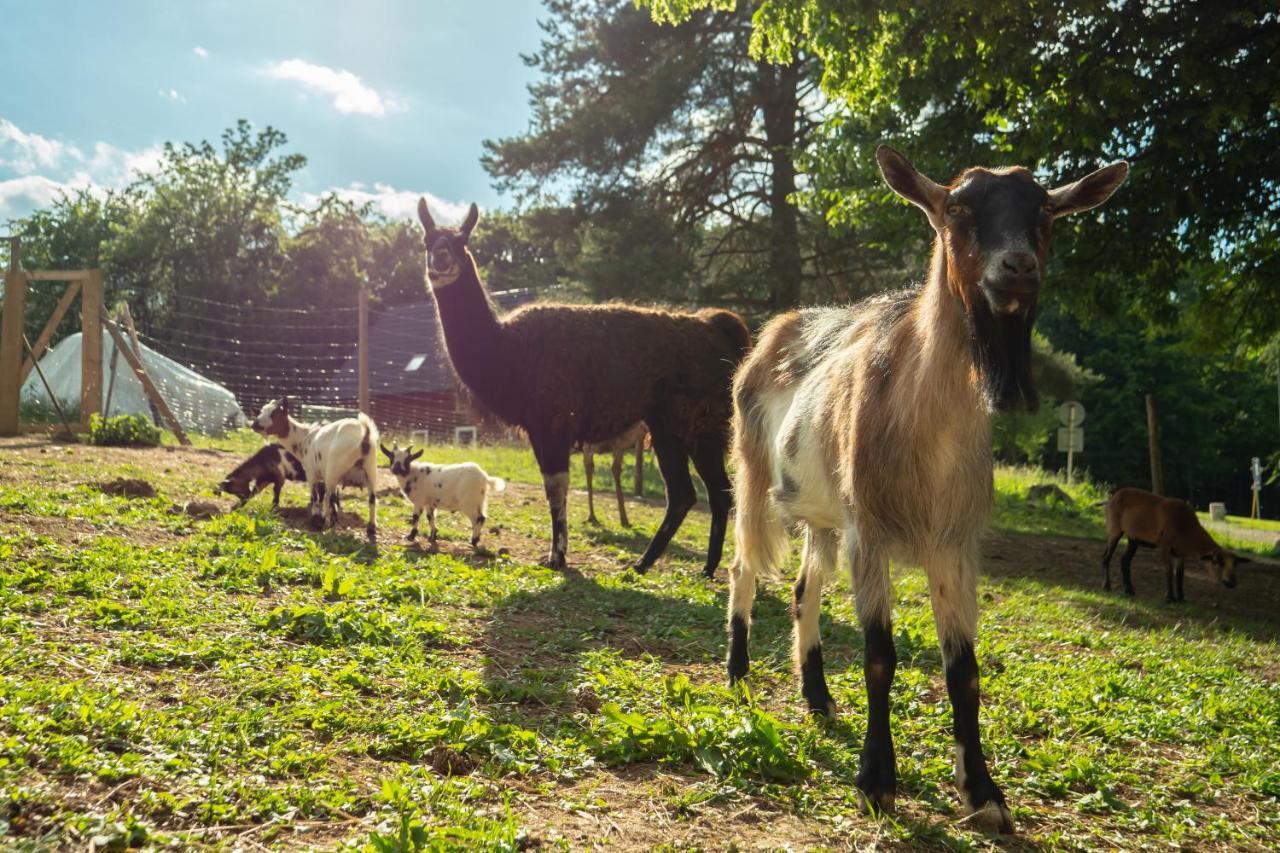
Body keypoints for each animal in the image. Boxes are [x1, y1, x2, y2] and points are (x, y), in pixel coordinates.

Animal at [414, 198, 747, 571]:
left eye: (462, 242)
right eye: (428, 241)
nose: (441, 257)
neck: (508, 349)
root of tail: (715, 326)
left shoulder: (554, 422)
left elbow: (556, 488)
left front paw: (556, 556)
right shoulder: (541, 428)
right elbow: (553, 487)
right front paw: (557, 553)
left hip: (696, 422)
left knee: (705, 492)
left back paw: (676, 566)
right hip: (671, 426)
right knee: (693, 493)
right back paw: (670, 566)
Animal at [727, 147, 1126, 829]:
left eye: (1045, 212)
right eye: (959, 208)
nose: (1018, 267)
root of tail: (776, 330)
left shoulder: (954, 542)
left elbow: (963, 670)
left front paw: (984, 793)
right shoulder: (870, 533)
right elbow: (880, 657)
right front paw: (876, 781)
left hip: (823, 513)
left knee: (805, 588)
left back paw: (817, 697)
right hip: (752, 470)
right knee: (745, 565)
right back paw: (738, 674)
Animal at [1105, 489, 1244, 601]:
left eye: (1235, 564)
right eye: (1217, 562)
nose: (1232, 582)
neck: (1186, 527)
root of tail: (1114, 496)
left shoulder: (1180, 552)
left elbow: (1180, 574)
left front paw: (1181, 598)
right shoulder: (1165, 546)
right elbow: (1169, 571)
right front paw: (1170, 597)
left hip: (1133, 538)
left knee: (1125, 560)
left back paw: (1129, 590)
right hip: (1114, 528)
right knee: (1106, 556)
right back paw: (1106, 586)